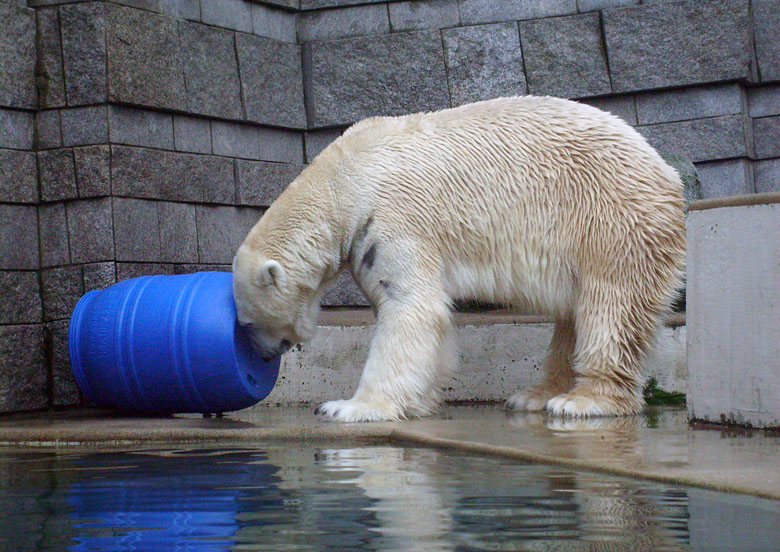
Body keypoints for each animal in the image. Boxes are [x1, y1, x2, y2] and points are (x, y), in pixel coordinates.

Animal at [232, 96, 684, 422]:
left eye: (247, 323)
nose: (266, 356)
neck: (342, 182)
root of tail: (667, 172)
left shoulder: (391, 219)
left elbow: (410, 307)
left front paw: (348, 406)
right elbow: (430, 319)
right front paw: (419, 401)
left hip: (611, 219)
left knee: (612, 305)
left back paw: (585, 400)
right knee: (572, 314)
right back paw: (536, 395)